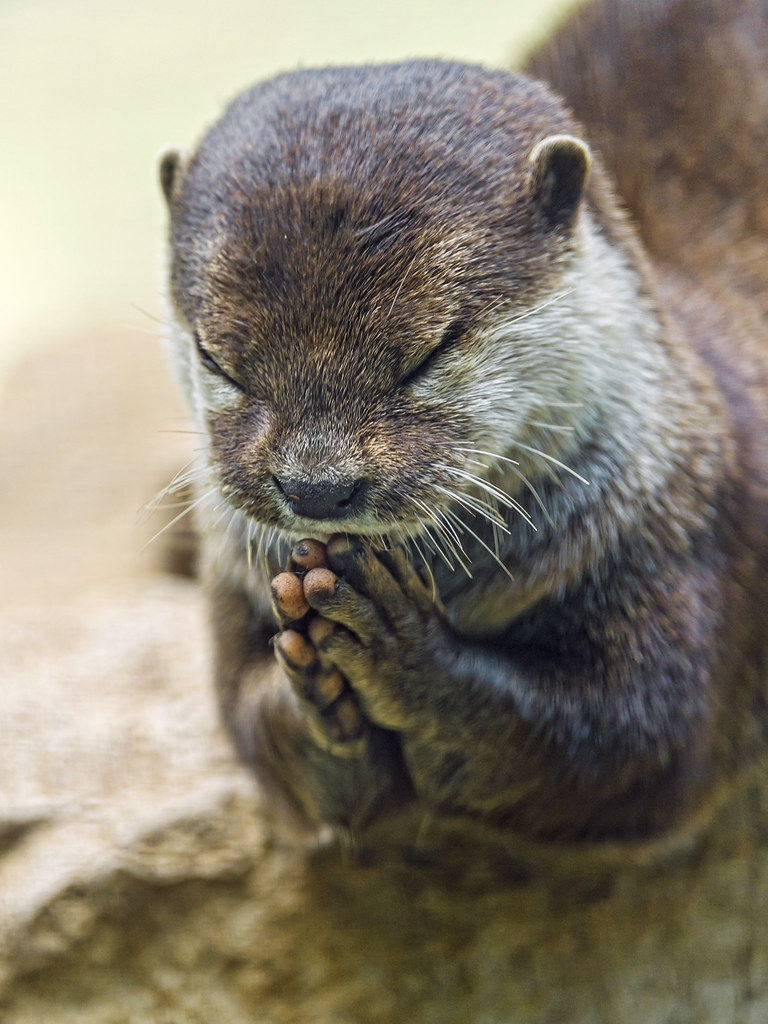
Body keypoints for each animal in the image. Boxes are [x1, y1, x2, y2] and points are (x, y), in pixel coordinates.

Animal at [157, 0, 768, 839]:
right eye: (217, 358)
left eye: (427, 352)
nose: (316, 488)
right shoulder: (233, 585)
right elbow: (259, 729)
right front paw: (313, 686)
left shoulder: (689, 541)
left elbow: (633, 743)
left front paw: (401, 649)